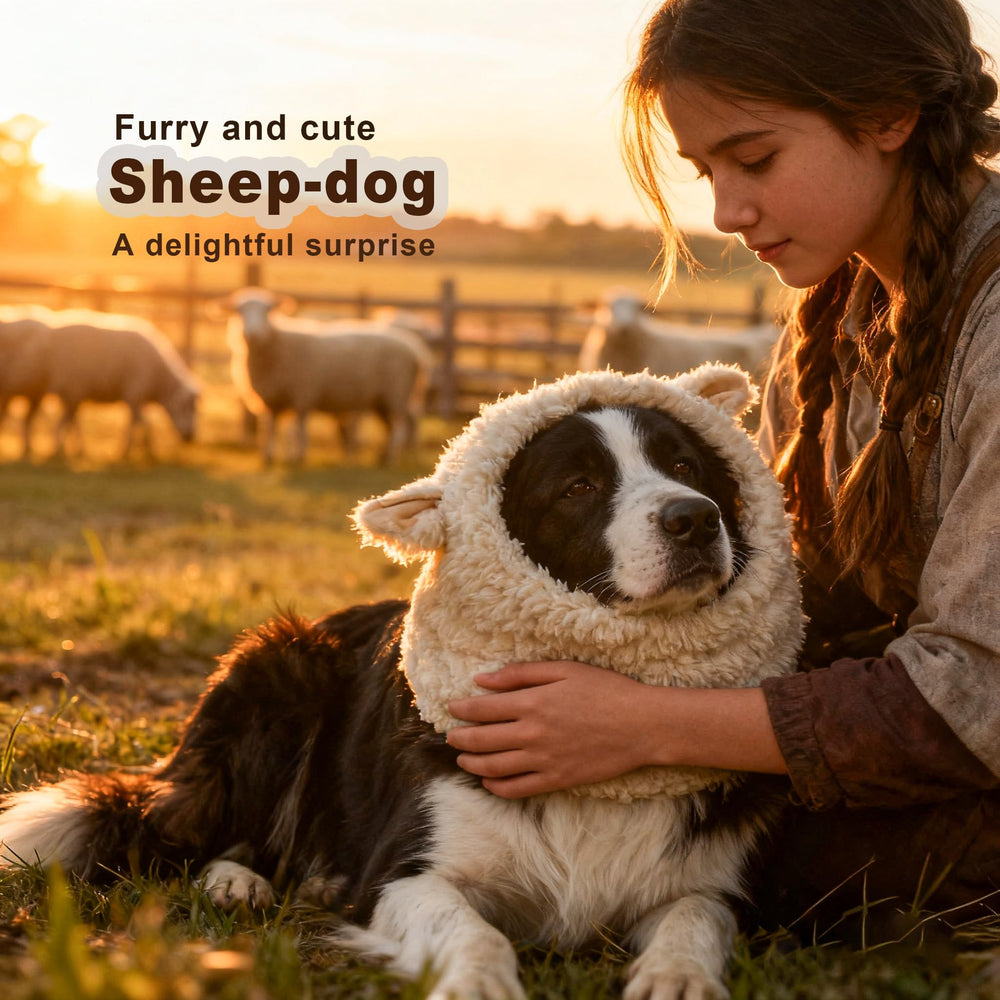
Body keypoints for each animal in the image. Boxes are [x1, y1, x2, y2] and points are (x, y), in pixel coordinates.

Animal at [0, 307, 200, 459]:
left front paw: (133, 450)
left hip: (37, 393)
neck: (160, 380)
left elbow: (133, 423)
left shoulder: (129, 397)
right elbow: (141, 423)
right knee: (51, 420)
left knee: (32, 420)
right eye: (185, 407)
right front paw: (139, 451)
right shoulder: (134, 393)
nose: (191, 437)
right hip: (50, 391)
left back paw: (36, 449)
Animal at [227, 287, 435, 465]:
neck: (276, 343)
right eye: (239, 311)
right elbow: (271, 428)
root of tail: (414, 349)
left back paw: (391, 456)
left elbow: (300, 427)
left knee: (401, 424)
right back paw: (390, 454)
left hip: (396, 393)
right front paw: (268, 457)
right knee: (397, 425)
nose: (252, 334)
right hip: (383, 400)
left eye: (267, 310)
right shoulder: (272, 400)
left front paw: (299, 457)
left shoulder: (302, 395)